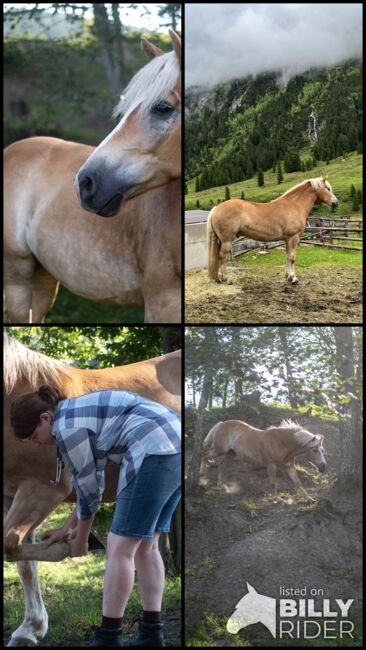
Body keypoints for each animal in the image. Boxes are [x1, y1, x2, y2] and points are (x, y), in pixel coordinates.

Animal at [2, 332, 180, 644]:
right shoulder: (11, 495)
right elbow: (22, 562)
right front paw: (30, 629)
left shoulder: (40, 490)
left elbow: (11, 544)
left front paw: (68, 545)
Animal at [207, 176, 338, 282]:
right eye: (327, 188)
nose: (335, 203)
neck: (294, 205)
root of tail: (216, 208)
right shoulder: (293, 238)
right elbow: (292, 258)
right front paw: (293, 278)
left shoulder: (287, 240)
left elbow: (287, 257)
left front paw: (288, 276)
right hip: (226, 241)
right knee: (222, 257)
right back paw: (226, 279)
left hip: (221, 241)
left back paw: (219, 278)